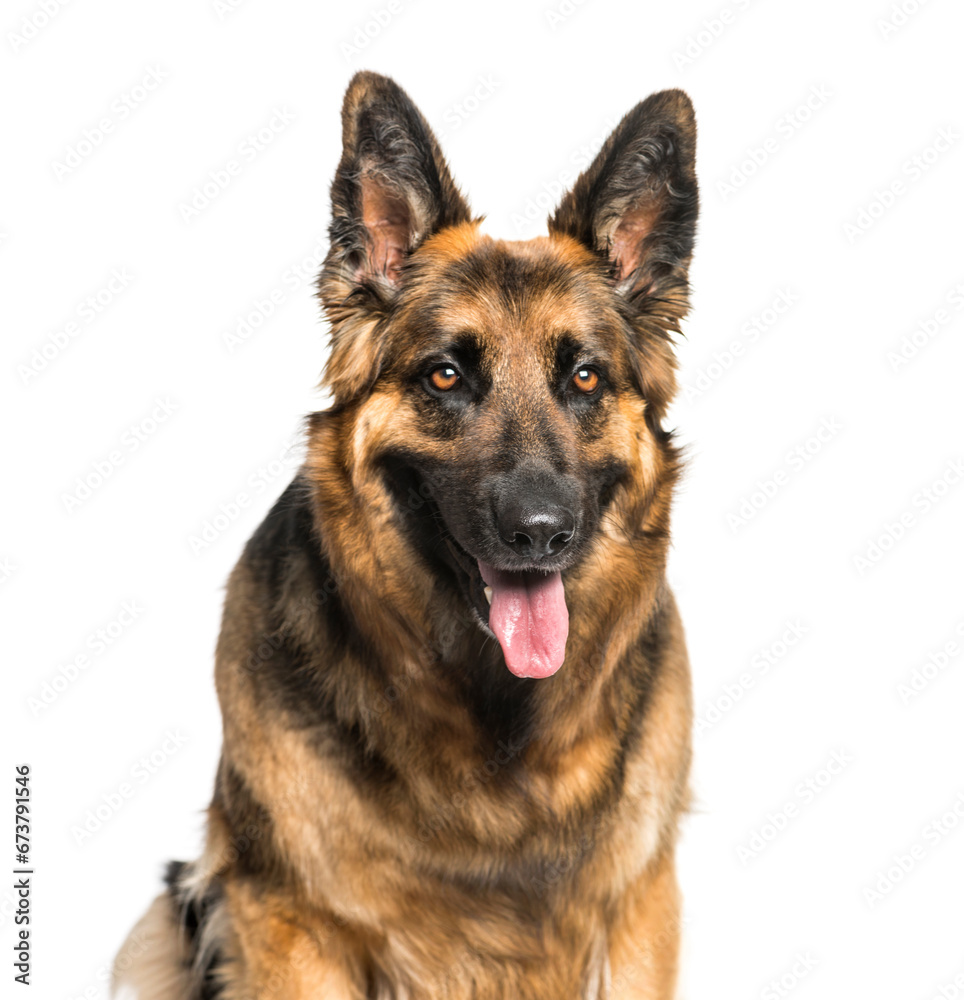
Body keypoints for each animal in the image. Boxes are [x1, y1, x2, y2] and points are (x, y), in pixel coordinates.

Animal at [116, 72, 696, 1000]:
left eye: (584, 378)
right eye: (446, 376)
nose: (542, 533)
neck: (493, 722)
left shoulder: (640, 908)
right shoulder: (292, 921)